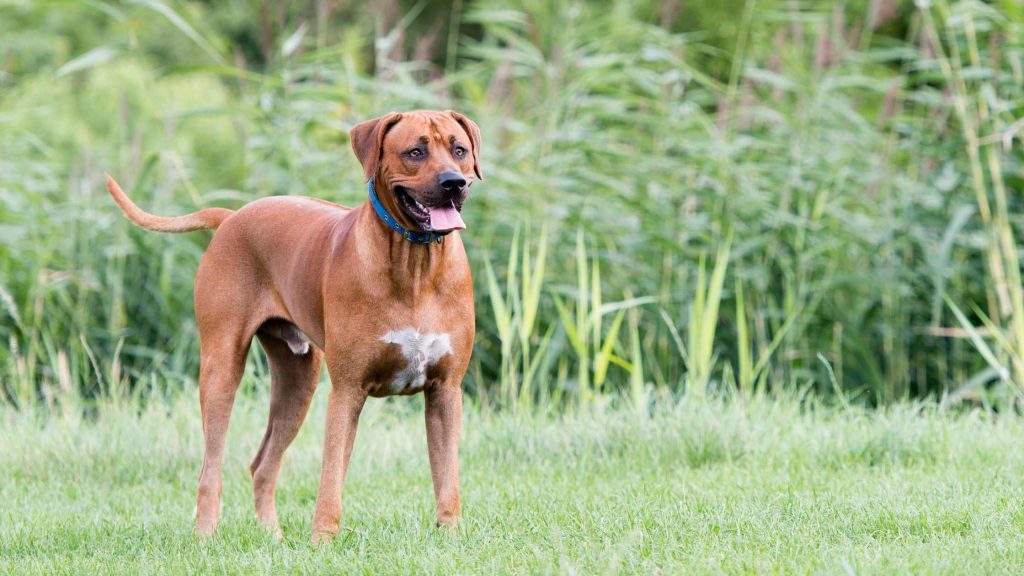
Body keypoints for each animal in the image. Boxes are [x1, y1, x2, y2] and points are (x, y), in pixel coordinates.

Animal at [105, 109, 481, 541]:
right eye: (415, 152)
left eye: (459, 150)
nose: (453, 183)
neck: (415, 264)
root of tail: (232, 217)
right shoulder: (347, 391)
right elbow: (331, 479)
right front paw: (323, 542)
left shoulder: (445, 392)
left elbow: (447, 478)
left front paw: (450, 536)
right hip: (221, 369)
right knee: (210, 468)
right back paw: (207, 536)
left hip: (297, 380)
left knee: (262, 465)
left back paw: (274, 538)